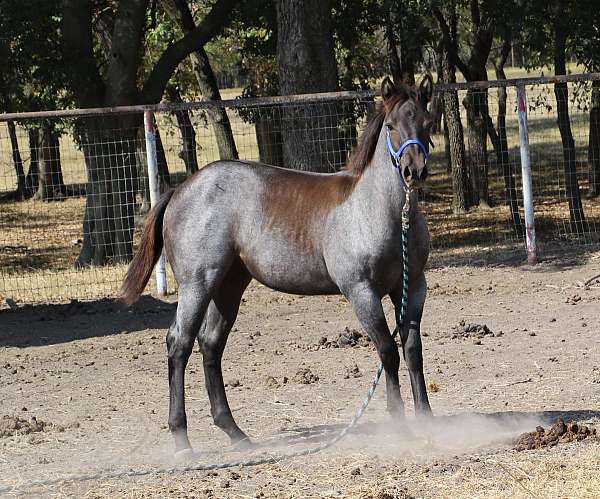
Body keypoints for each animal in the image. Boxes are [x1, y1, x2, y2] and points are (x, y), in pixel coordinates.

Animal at [122, 75, 434, 458]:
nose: (413, 170)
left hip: (229, 286)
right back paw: (182, 439)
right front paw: (399, 421)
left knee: (210, 344)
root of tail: (180, 190)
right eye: (390, 125)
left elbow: (412, 350)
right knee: (179, 342)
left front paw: (426, 419)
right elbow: (388, 351)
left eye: (427, 121)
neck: (381, 211)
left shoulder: (412, 286)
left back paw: (235, 432)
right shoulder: (361, 291)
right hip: (198, 284)